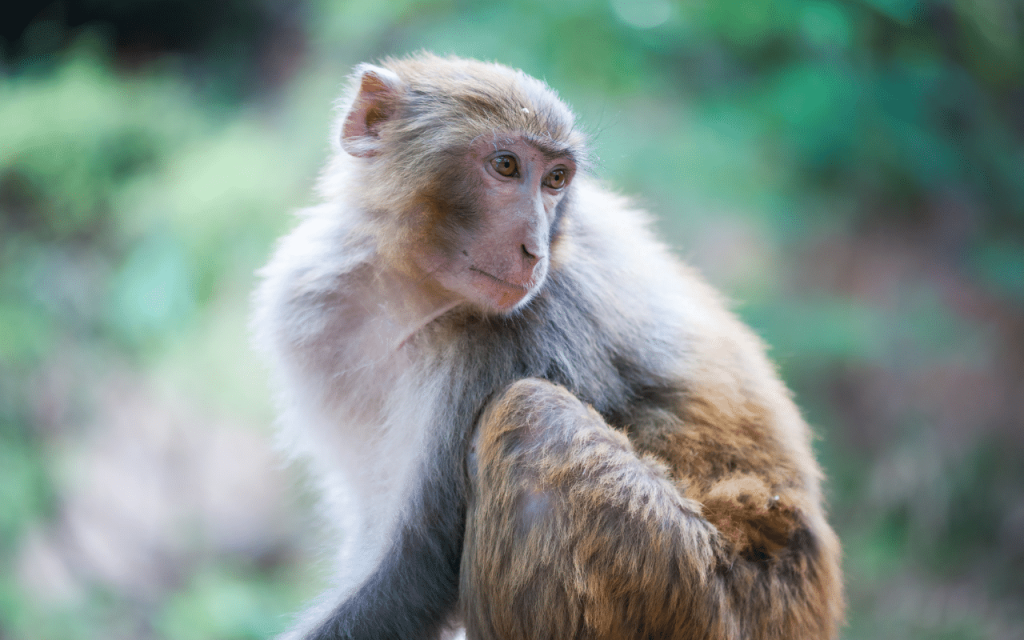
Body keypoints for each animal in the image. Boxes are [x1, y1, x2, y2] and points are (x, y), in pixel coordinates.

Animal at [252, 53, 843, 640]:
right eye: (506, 166)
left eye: (555, 179)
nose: (533, 249)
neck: (410, 290)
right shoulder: (311, 311)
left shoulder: (521, 337)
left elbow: (414, 565)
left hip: (697, 594)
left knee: (534, 419)